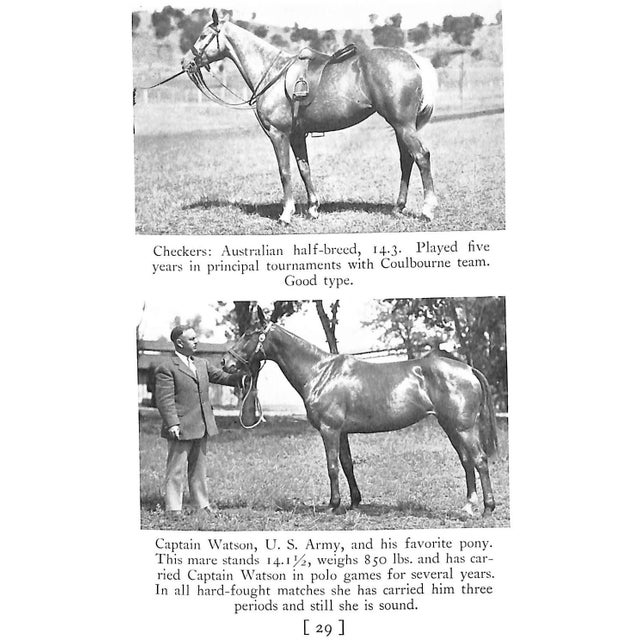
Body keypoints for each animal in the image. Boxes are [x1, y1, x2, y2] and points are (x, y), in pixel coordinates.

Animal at [181, 9, 438, 225]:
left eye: (204, 35)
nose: (185, 62)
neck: (272, 74)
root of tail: (412, 59)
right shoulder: (297, 135)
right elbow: (304, 168)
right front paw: (313, 208)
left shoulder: (278, 134)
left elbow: (285, 171)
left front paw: (286, 214)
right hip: (401, 126)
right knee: (406, 160)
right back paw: (398, 208)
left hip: (402, 125)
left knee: (421, 157)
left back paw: (427, 210)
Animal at [221, 307, 498, 517]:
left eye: (249, 334)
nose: (226, 362)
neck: (320, 372)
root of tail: (468, 369)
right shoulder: (341, 432)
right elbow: (347, 464)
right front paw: (354, 501)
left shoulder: (329, 430)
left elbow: (332, 466)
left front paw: (333, 505)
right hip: (451, 426)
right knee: (467, 461)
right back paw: (468, 506)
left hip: (463, 428)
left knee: (480, 460)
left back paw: (487, 508)